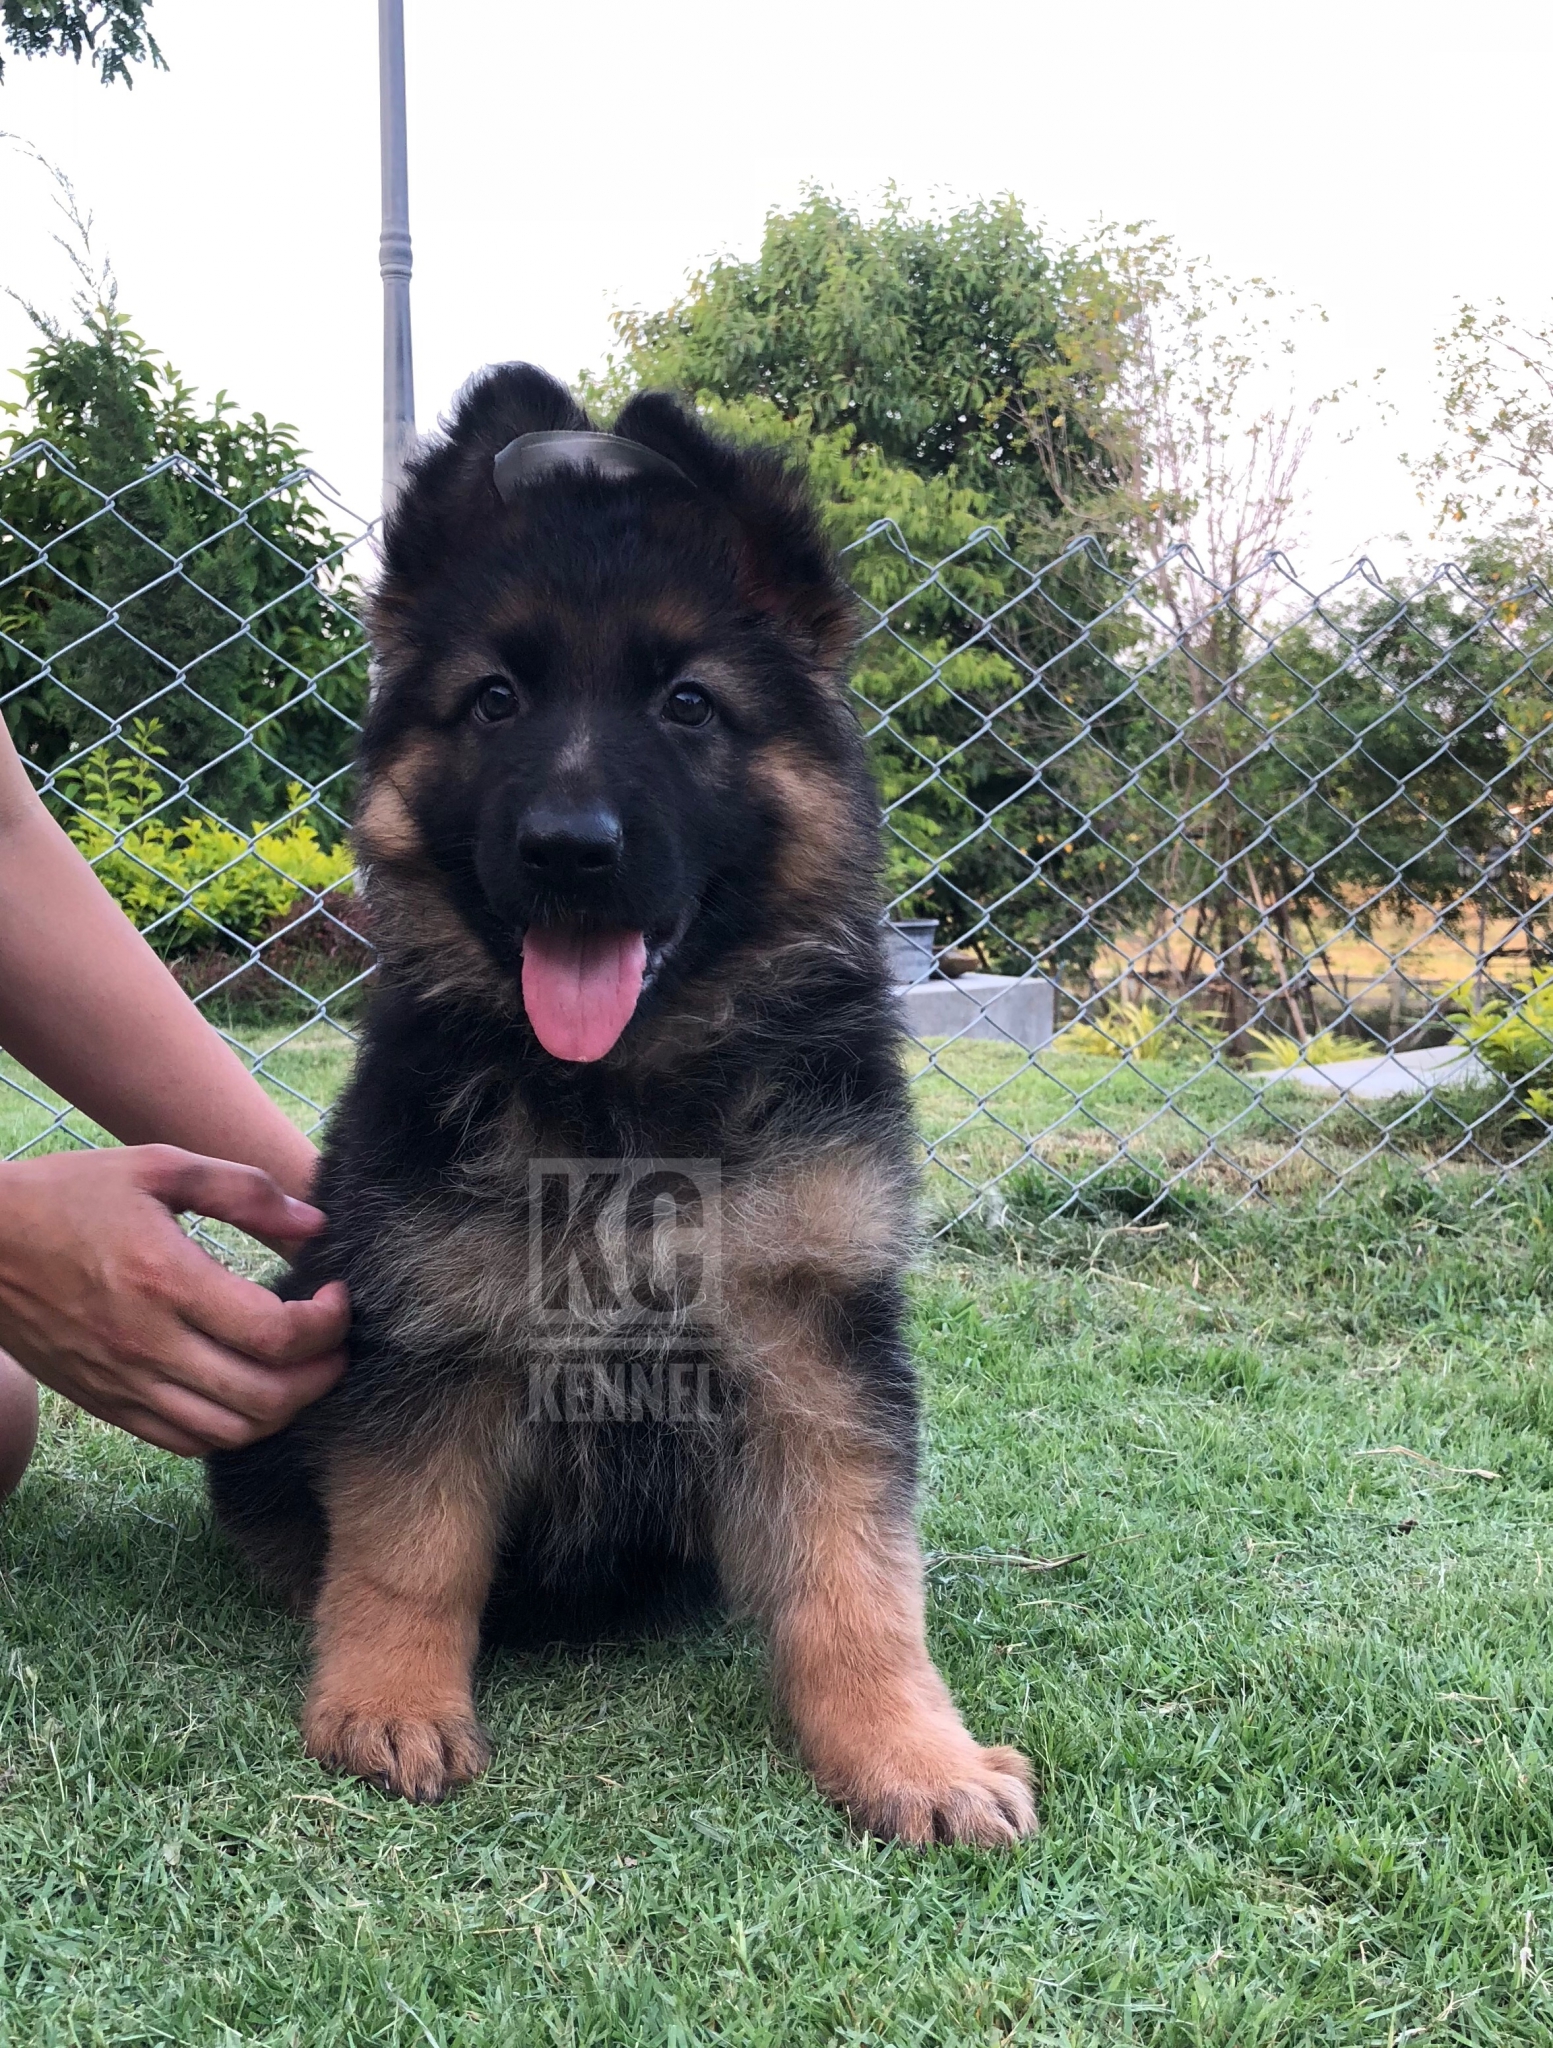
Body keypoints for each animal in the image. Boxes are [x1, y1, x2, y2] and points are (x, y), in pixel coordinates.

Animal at [208, 364, 1035, 1847]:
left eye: (689, 704)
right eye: (493, 700)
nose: (568, 850)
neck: (626, 1090)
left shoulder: (816, 1341)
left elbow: (858, 1580)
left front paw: (912, 1754)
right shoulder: (429, 1330)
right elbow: (407, 1545)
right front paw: (390, 1700)